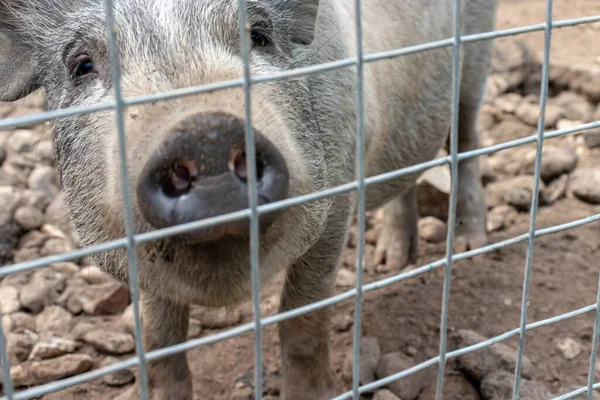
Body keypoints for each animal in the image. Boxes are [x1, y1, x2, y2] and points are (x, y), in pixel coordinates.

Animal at [0, 0, 496, 398]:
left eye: (258, 35)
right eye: (82, 65)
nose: (205, 132)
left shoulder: (337, 199)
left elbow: (301, 321)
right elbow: (159, 341)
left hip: (476, 64)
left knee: (467, 145)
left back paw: (472, 248)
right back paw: (390, 263)